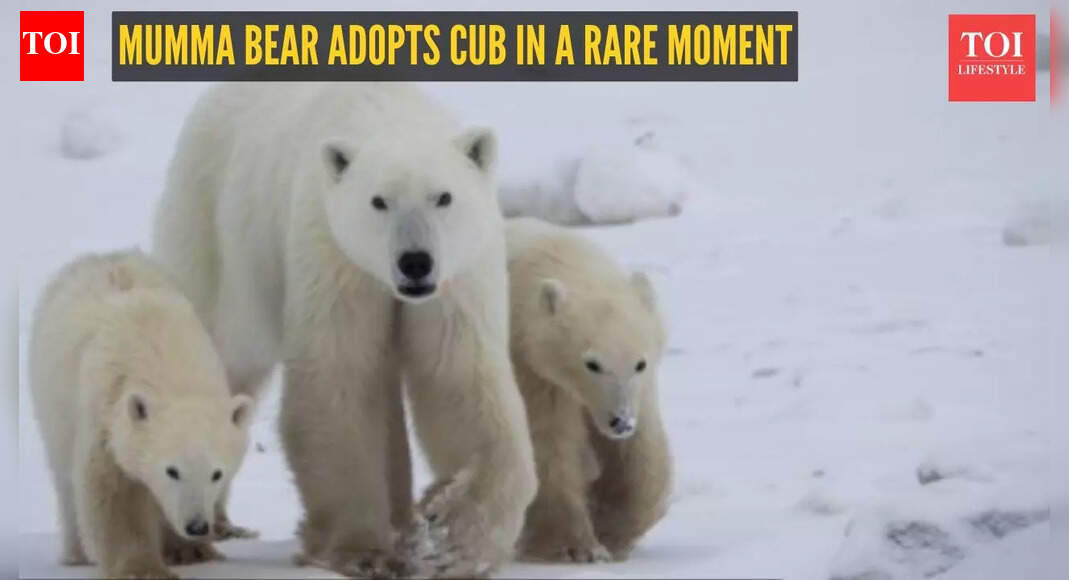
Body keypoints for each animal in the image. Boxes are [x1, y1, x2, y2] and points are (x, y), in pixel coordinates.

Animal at [28, 250, 252, 579]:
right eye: (172, 470)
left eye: (217, 473)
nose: (197, 526)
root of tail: (104, 257)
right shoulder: (105, 417)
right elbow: (115, 494)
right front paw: (141, 568)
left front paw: (190, 551)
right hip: (53, 405)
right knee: (64, 478)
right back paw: (76, 554)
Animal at [152, 83, 537, 578]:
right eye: (379, 201)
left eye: (443, 197)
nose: (415, 262)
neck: (389, 113)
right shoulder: (335, 255)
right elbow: (339, 381)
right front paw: (361, 551)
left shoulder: (457, 277)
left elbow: (458, 378)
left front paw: (452, 538)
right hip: (217, 237)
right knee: (221, 354)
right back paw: (197, 533)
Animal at [505, 218, 673, 563]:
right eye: (592, 364)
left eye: (640, 363)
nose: (620, 422)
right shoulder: (532, 368)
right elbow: (549, 445)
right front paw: (576, 547)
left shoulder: (640, 392)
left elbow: (640, 453)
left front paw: (614, 529)